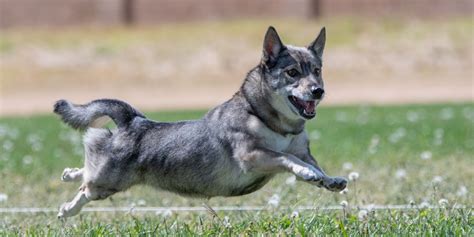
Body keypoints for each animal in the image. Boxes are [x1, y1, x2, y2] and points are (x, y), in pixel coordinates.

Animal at [55, 26, 348, 218]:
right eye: (292, 72)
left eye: (317, 71)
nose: (318, 91)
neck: (272, 121)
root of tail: (133, 121)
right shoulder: (253, 155)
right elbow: (289, 159)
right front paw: (307, 173)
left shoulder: (301, 151)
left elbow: (314, 165)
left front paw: (328, 179)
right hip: (107, 182)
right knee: (86, 187)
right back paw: (67, 209)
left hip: (107, 176)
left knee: (86, 170)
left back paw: (69, 174)